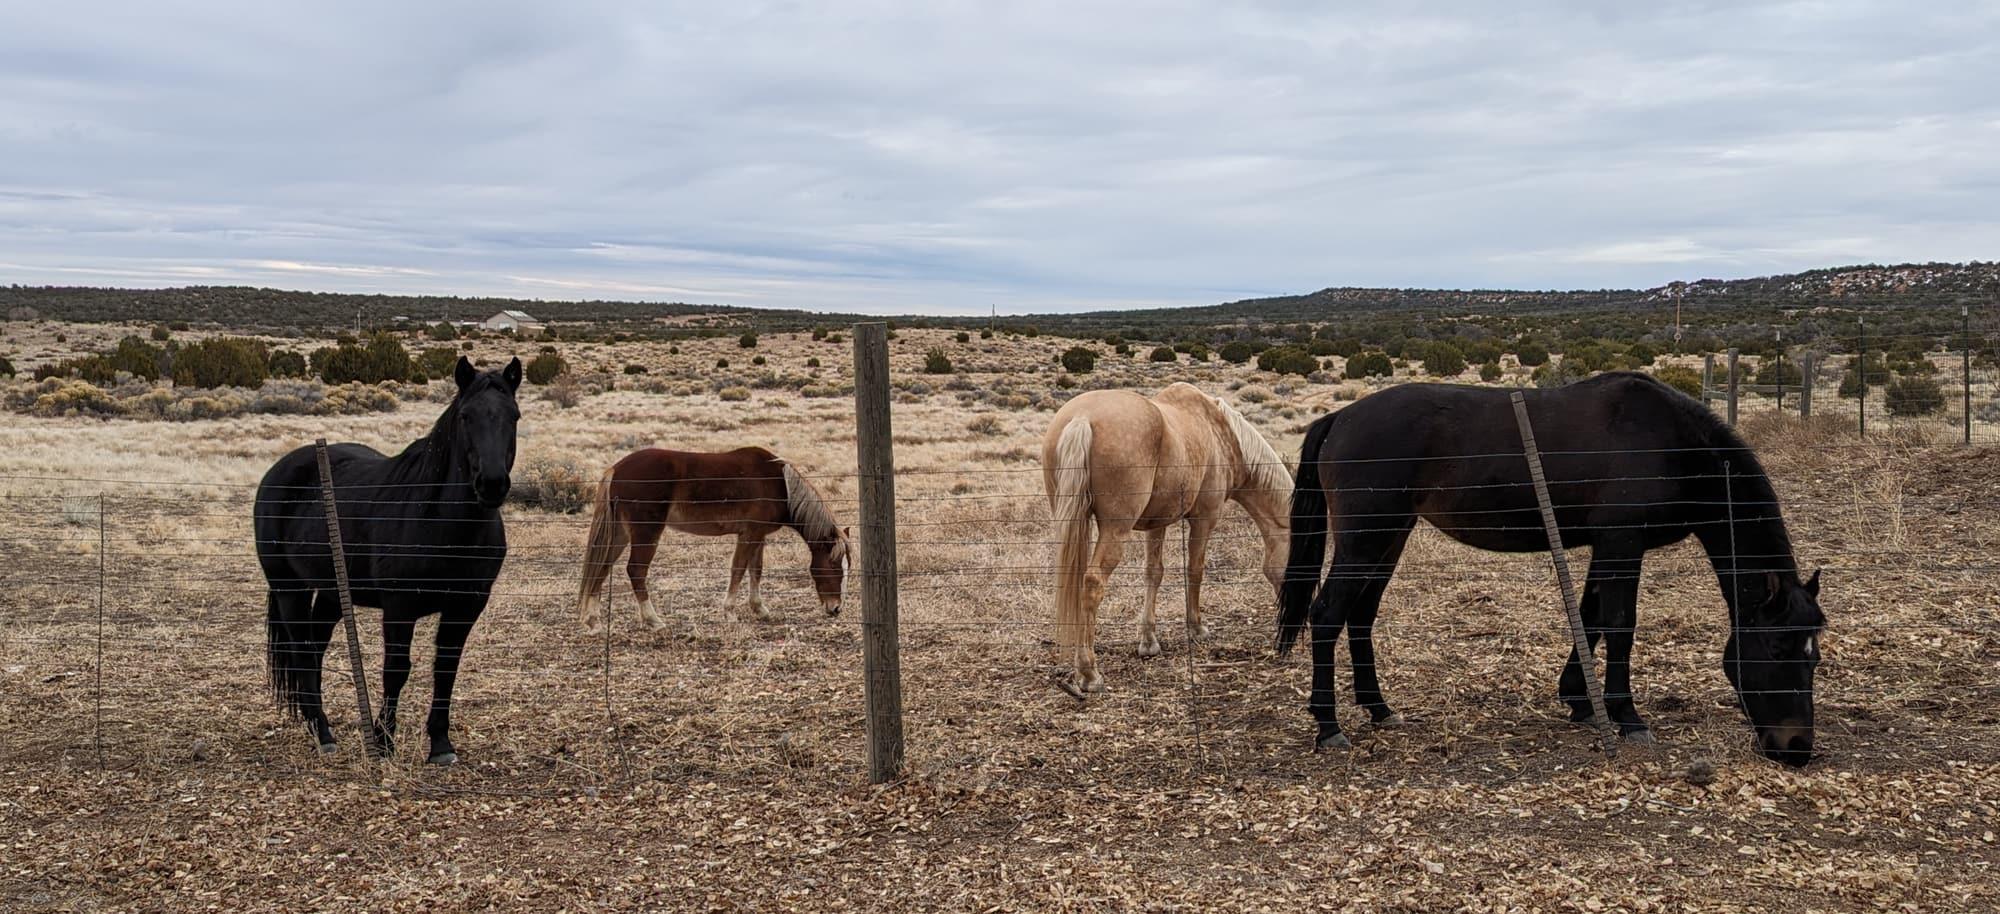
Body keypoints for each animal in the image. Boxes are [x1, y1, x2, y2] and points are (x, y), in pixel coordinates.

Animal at [256, 356, 522, 766]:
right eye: (466, 416)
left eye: (514, 416)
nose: (491, 484)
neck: (444, 524)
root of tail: (280, 469)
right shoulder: (399, 606)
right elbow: (396, 670)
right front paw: (383, 742)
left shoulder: (466, 606)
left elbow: (446, 668)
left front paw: (440, 744)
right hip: (289, 588)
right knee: (301, 649)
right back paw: (323, 733)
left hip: (332, 593)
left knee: (314, 649)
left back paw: (316, 724)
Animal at [575, 446, 852, 631]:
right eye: (834, 568)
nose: (836, 608)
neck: (780, 484)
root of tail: (616, 469)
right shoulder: (749, 535)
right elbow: (738, 570)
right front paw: (729, 612)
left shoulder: (758, 536)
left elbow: (756, 570)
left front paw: (759, 609)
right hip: (646, 533)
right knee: (636, 571)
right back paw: (654, 620)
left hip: (619, 533)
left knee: (602, 568)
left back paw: (593, 621)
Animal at [1043, 381, 1293, 694]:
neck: (1223, 434)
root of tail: (1082, 419)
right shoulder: (1204, 519)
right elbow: (1195, 571)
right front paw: (1197, 628)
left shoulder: (1156, 524)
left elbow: (1154, 573)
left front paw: (1148, 641)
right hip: (1115, 531)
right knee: (1093, 582)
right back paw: (1089, 673)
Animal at [1279, 372, 1825, 766]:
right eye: (1778, 647)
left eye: (1815, 656)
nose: (1796, 748)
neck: (1671, 444)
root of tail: (1340, 417)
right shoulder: (1623, 543)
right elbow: (1619, 625)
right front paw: (1627, 715)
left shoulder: (1604, 546)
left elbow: (1590, 619)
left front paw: (1579, 699)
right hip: (1366, 540)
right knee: (1326, 615)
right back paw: (1328, 726)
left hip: (1388, 539)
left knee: (1360, 616)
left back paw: (1378, 708)